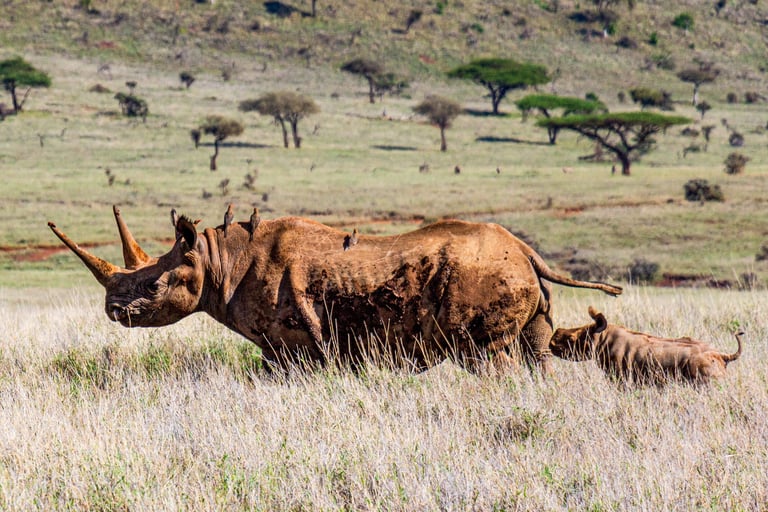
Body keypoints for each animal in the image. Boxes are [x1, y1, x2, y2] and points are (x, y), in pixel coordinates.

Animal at [48, 206, 622, 374]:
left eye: (152, 283)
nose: (111, 309)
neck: (217, 260)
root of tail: (527, 251)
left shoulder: (292, 344)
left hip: (487, 278)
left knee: (489, 356)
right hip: (518, 277)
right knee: (534, 352)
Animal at [549, 306, 743, 385]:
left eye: (571, 339)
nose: (551, 343)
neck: (601, 339)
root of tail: (722, 356)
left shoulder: (620, 378)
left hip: (702, 371)